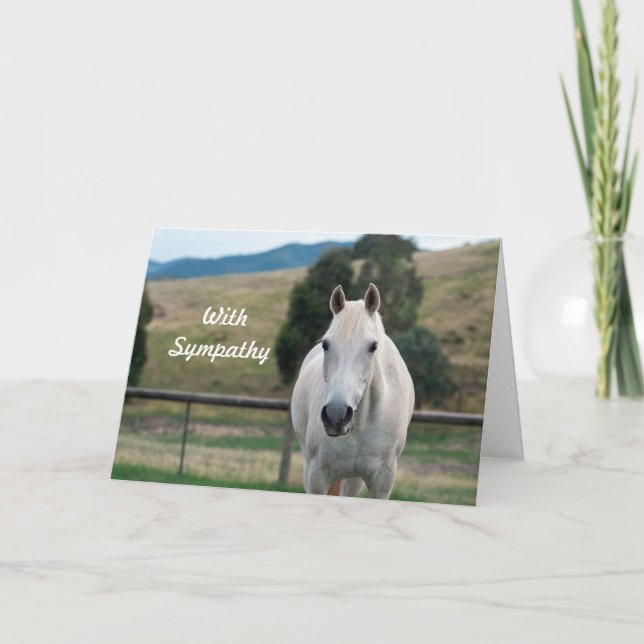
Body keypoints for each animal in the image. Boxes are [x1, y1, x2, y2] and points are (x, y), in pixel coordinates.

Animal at [290, 283, 415, 499]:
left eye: (373, 346)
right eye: (325, 344)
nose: (336, 415)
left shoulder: (382, 481)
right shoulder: (317, 478)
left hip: (354, 481)